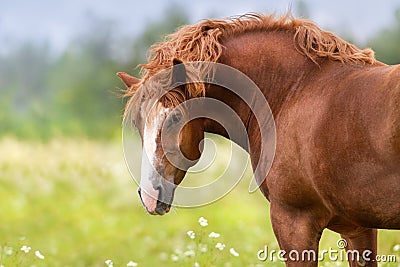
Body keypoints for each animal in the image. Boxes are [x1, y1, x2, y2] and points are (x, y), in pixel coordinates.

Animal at [118, 13, 400, 266]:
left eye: (175, 117)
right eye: (138, 123)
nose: (149, 196)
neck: (293, 92)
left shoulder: (294, 222)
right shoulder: (358, 228)